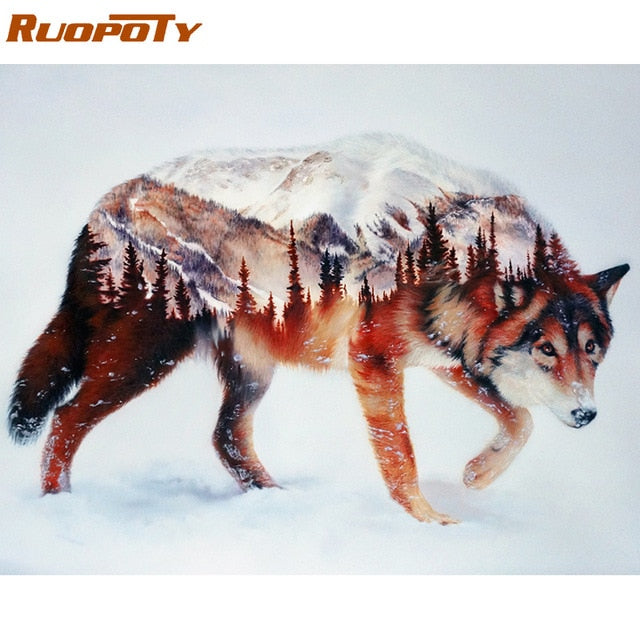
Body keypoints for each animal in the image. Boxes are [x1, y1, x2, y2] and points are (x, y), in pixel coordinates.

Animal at [8, 142, 629, 524]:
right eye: (546, 349)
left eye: (591, 351)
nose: (587, 415)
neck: (455, 256)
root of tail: (100, 206)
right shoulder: (373, 360)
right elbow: (401, 456)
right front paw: (430, 521)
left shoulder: (447, 357)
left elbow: (519, 418)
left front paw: (477, 475)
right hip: (144, 358)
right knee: (65, 418)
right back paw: (58, 504)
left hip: (249, 373)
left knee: (225, 439)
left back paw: (277, 504)